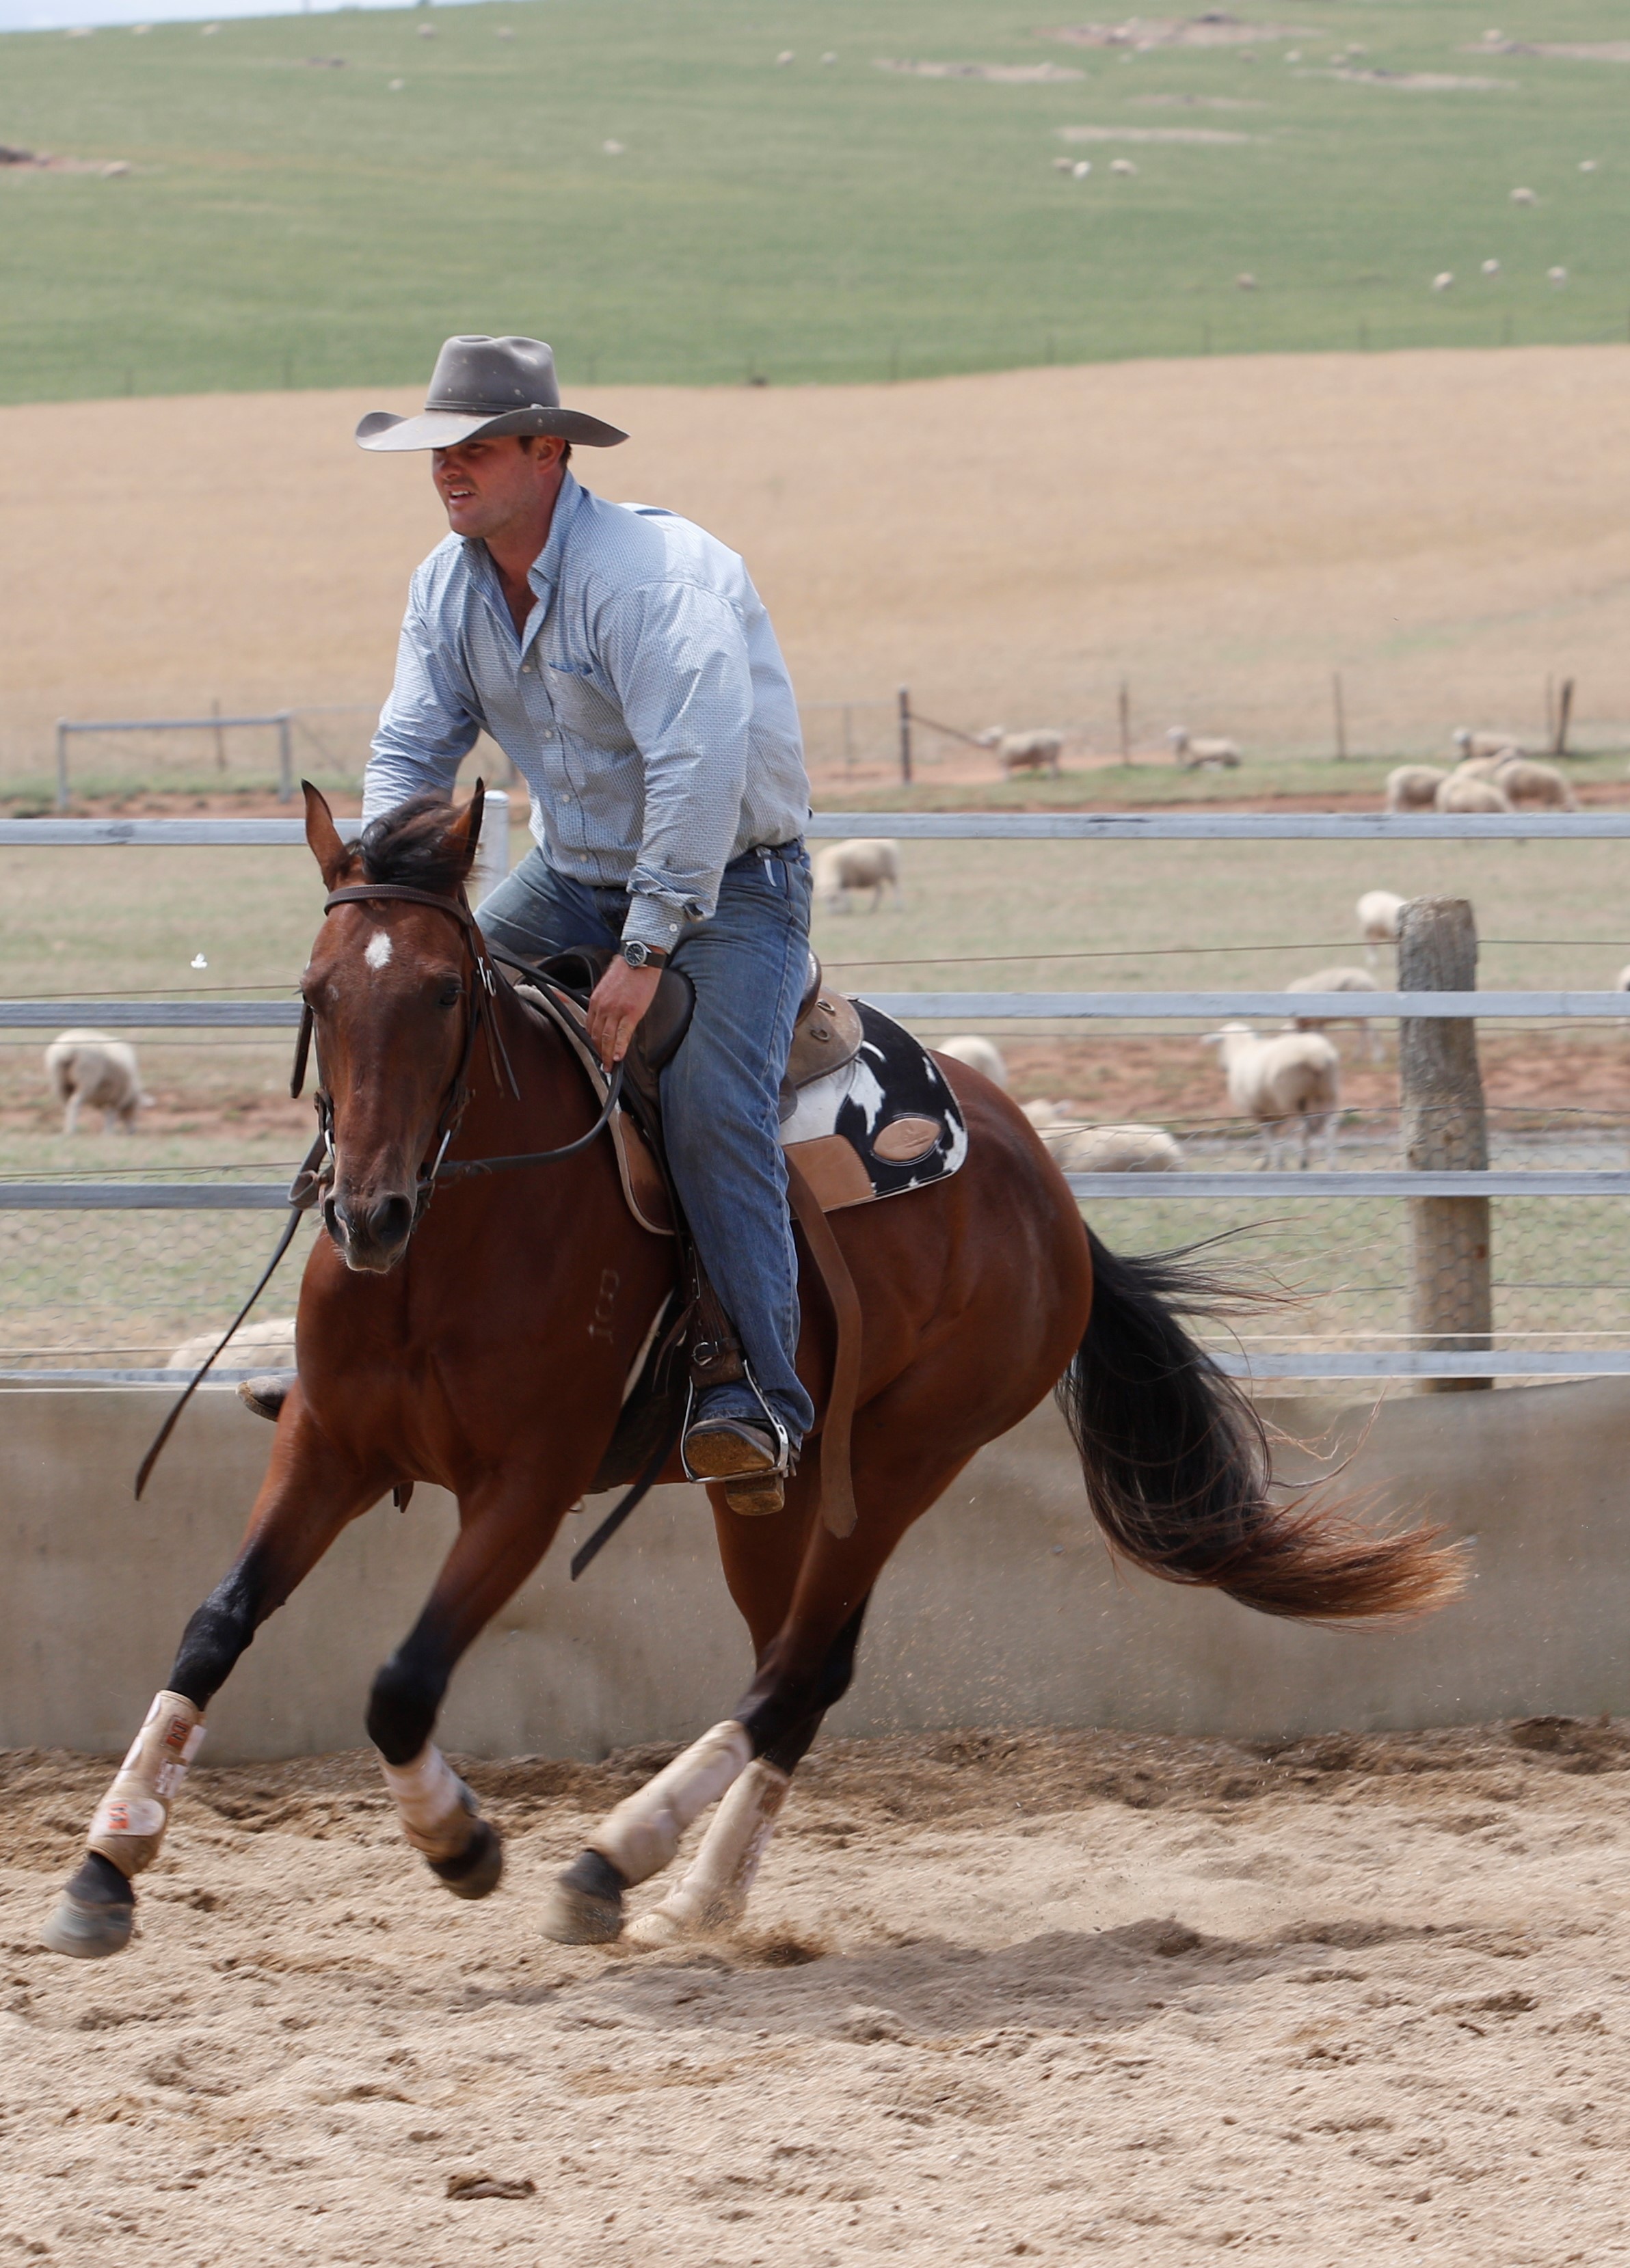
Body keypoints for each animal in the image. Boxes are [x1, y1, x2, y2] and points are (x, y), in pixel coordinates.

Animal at [43, 784, 1462, 1962]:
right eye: (318, 988)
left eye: (445, 992)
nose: (368, 1213)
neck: (455, 1239)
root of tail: (1045, 1193)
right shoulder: (328, 1443)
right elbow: (215, 1621)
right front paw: (106, 1863)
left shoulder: (525, 1487)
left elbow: (400, 1684)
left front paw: (463, 1841)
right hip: (758, 1495)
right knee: (794, 1665)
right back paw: (696, 1890)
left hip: (900, 1458)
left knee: (796, 1668)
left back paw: (617, 1861)